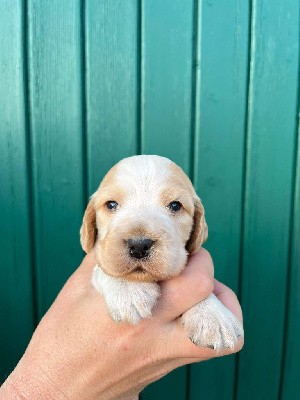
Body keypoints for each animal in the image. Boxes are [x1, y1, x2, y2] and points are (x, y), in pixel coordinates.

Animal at [80, 155, 244, 348]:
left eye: (175, 206)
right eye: (111, 204)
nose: (139, 245)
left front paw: (212, 315)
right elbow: (104, 269)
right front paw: (128, 288)